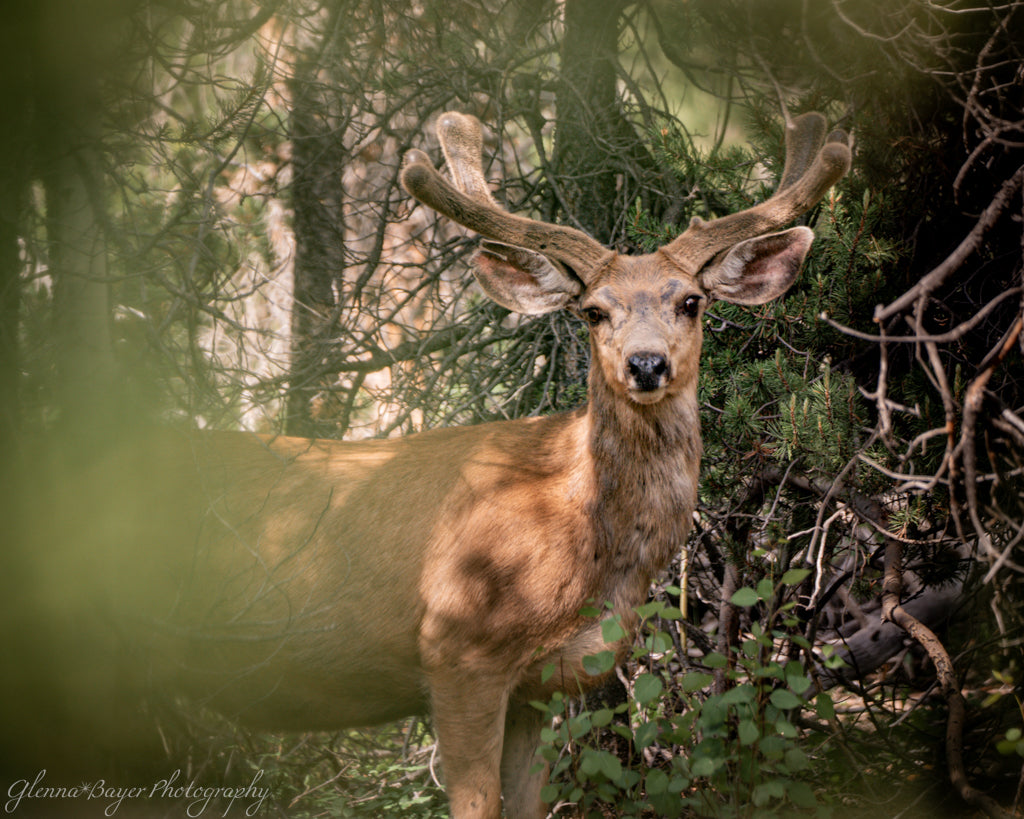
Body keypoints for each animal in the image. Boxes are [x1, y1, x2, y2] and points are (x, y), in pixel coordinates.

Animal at [16, 110, 849, 818]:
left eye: (691, 302)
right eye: (594, 310)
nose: (646, 365)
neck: (583, 542)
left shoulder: (545, 685)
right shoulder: (457, 648)